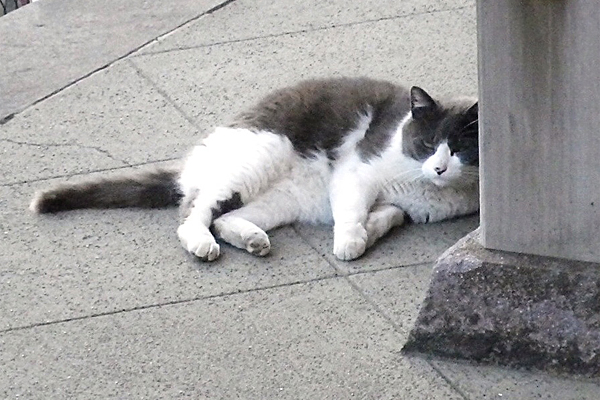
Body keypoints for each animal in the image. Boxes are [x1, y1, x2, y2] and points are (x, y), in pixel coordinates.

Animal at [30, 76, 480, 260]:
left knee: (227, 218)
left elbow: (389, 216)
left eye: (459, 149)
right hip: (258, 157)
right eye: (427, 145)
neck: (428, 191)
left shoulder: (399, 205)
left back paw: (252, 240)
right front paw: (351, 243)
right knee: (194, 213)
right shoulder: (357, 172)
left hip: (284, 199)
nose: (439, 169)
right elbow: (353, 212)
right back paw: (202, 244)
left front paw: (371, 229)